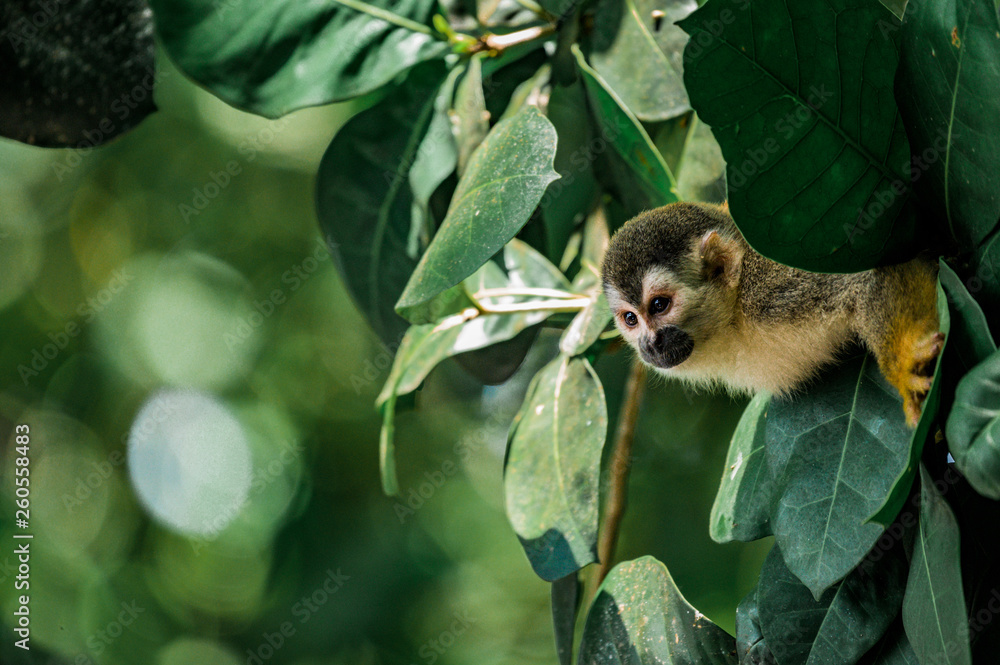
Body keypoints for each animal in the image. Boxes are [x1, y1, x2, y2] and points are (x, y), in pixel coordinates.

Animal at [601, 202, 943, 427]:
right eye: (631, 319)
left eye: (659, 305)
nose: (650, 344)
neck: (735, 315)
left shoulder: (770, 292)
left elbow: (871, 269)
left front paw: (902, 365)